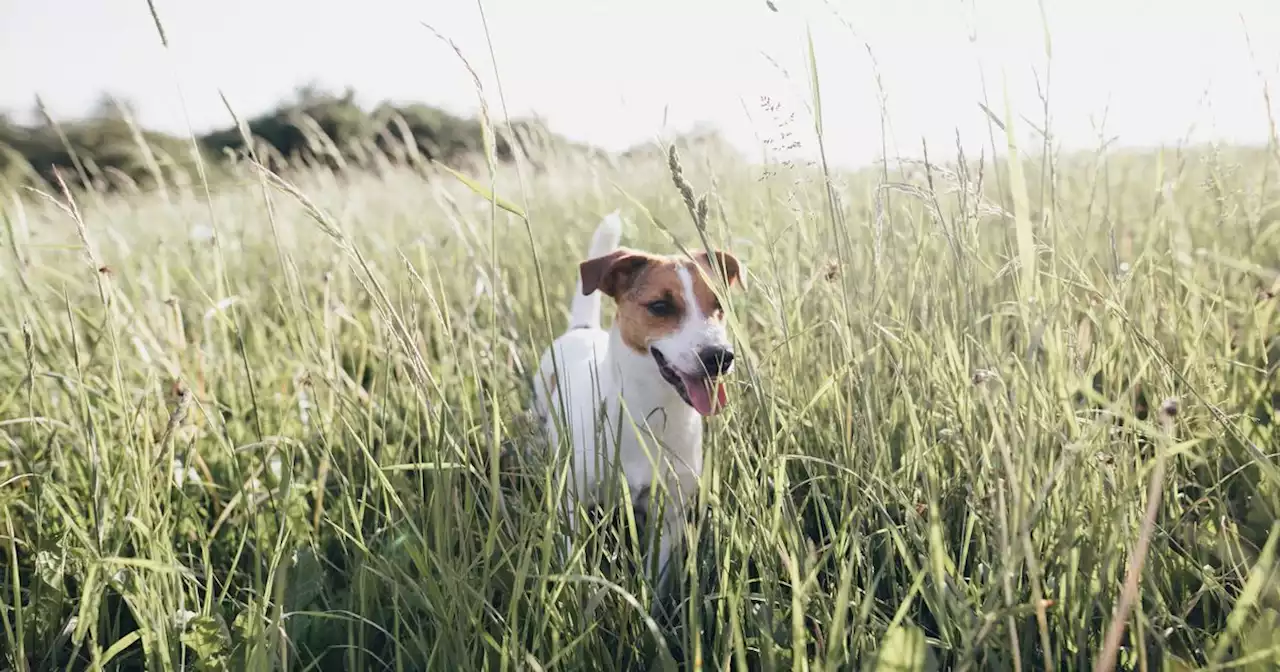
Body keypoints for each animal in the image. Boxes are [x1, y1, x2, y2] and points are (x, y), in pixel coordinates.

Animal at [535, 212, 747, 578]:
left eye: (719, 305)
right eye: (660, 306)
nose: (720, 356)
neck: (649, 410)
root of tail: (582, 330)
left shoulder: (670, 513)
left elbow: (656, 574)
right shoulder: (572, 503)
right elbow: (571, 553)